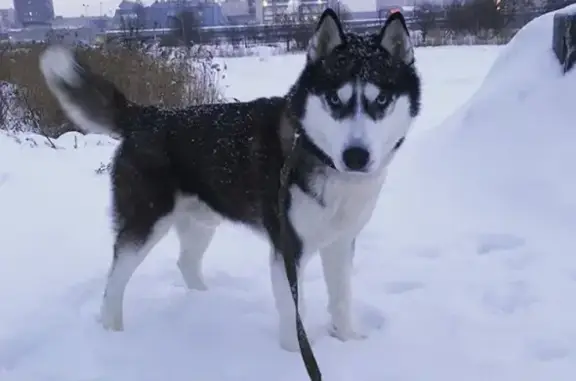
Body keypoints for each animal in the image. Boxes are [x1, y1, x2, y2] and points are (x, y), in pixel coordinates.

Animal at [39, 9, 418, 356]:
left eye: (381, 100)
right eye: (335, 99)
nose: (356, 156)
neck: (313, 150)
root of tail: (148, 115)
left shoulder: (340, 241)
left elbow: (341, 297)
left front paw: (349, 341)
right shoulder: (288, 247)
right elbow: (293, 311)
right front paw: (295, 355)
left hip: (201, 220)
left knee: (186, 262)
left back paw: (204, 302)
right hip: (145, 221)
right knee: (115, 278)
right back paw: (112, 332)